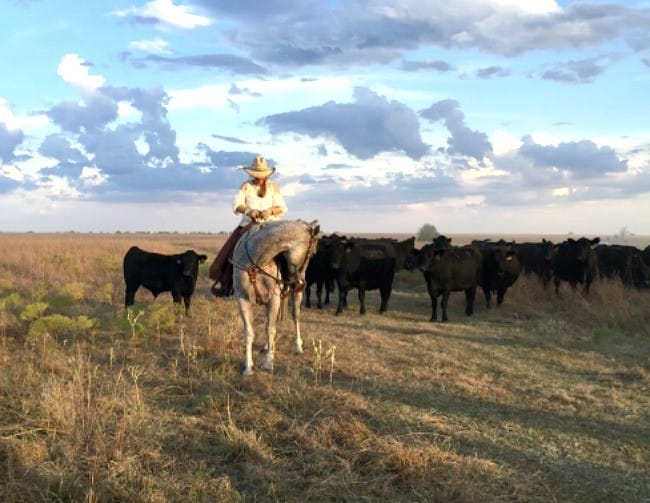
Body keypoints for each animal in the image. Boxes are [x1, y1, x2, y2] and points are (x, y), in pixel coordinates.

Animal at [230, 219, 318, 376]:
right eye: (312, 253)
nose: (299, 282)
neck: (255, 262)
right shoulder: (242, 299)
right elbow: (249, 333)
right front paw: (248, 367)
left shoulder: (274, 299)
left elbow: (270, 330)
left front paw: (268, 363)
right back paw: (267, 346)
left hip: (296, 296)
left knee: (295, 317)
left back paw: (298, 347)